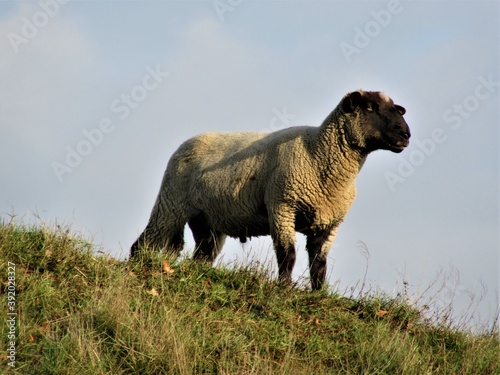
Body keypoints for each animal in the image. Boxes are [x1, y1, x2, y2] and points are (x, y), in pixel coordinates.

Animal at [132, 90, 410, 290]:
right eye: (370, 107)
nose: (405, 134)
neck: (318, 153)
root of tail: (184, 145)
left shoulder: (329, 222)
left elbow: (318, 264)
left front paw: (318, 293)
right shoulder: (282, 206)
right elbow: (288, 254)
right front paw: (285, 287)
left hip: (207, 221)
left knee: (202, 255)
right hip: (171, 203)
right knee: (145, 241)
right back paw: (134, 265)